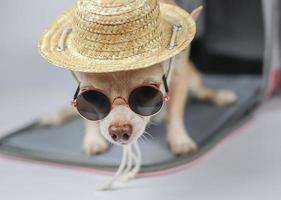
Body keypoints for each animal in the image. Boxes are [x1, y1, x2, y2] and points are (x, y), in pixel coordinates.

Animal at [39, 0, 236, 156]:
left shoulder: (180, 78)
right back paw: (53, 117)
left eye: (148, 93)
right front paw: (93, 140)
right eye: (92, 97)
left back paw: (221, 96)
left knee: (203, 92)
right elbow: (88, 119)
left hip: (192, 78)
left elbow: (175, 114)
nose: (119, 130)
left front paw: (179, 140)